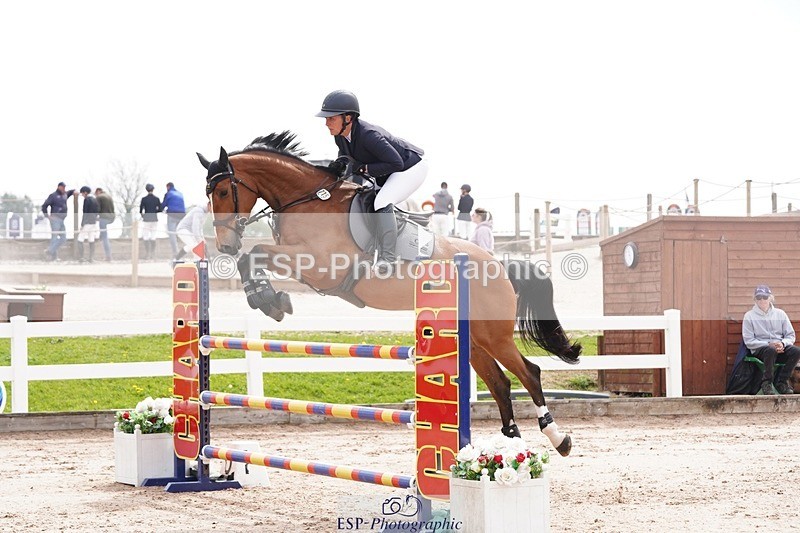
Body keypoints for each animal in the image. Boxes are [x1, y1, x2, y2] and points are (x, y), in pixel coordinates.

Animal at [198, 132, 582, 456]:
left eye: (222, 192)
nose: (225, 245)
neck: (308, 201)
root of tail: (499, 265)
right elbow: (252, 257)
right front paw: (268, 299)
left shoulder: (320, 264)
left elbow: (255, 253)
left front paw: (270, 300)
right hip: (471, 337)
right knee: (500, 382)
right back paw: (508, 442)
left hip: (493, 334)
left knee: (529, 373)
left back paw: (558, 438)